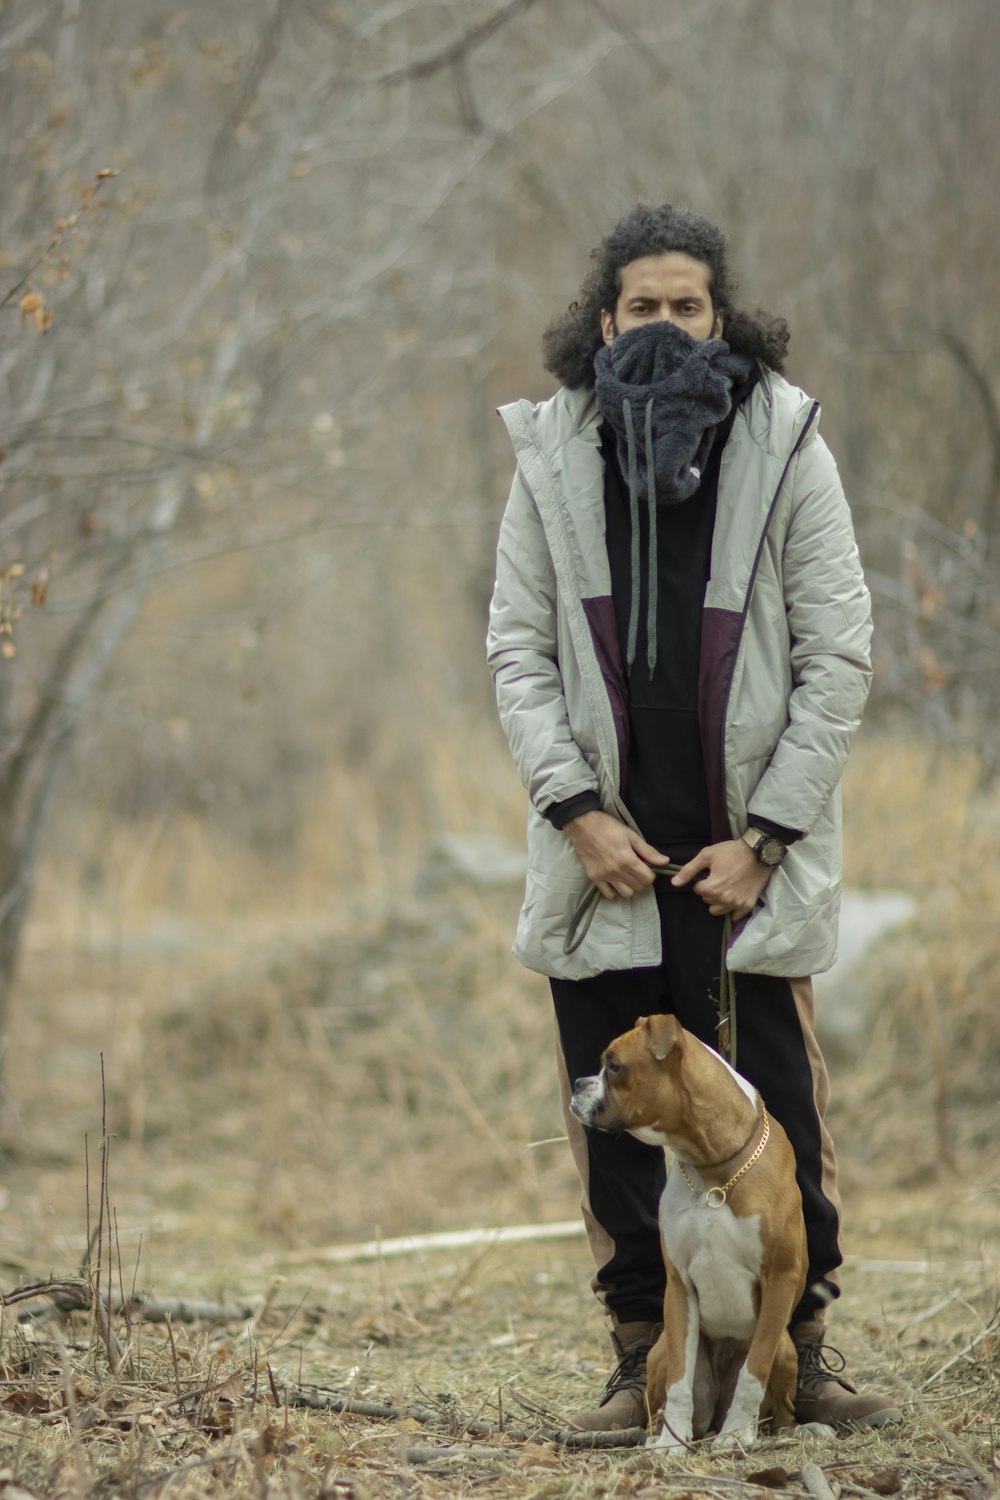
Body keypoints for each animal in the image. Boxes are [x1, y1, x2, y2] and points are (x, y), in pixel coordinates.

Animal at [566, 1014, 809, 1446]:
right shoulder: (679, 1285)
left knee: (780, 1410)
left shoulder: (781, 1278)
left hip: (784, 1348)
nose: (578, 1083)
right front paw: (670, 1444)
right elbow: (680, 1382)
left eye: (614, 1066)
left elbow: (753, 1374)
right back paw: (657, 1434)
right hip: (660, 1351)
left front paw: (736, 1435)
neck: (713, 1170)